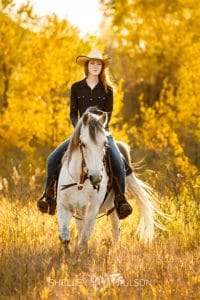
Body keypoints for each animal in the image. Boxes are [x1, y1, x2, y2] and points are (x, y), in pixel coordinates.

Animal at [56, 111, 166, 254]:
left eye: (104, 144)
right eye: (83, 144)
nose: (96, 177)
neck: (80, 182)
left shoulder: (92, 209)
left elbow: (85, 237)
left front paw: (81, 253)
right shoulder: (65, 206)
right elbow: (65, 236)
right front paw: (69, 255)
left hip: (114, 208)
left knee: (115, 230)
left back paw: (115, 251)